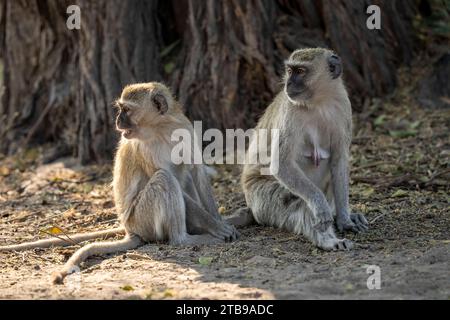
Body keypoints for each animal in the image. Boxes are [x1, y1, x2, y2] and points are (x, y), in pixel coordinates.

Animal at [0, 82, 239, 282]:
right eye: (121, 109)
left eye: (127, 110)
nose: (117, 121)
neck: (161, 128)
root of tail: (129, 229)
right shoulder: (143, 148)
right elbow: (169, 176)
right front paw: (216, 227)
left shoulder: (185, 128)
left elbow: (196, 171)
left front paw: (218, 222)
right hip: (141, 219)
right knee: (165, 179)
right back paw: (184, 239)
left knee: (183, 175)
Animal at [232, 48, 370, 251]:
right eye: (290, 71)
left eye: (300, 71)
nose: (288, 83)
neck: (319, 102)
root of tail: (251, 205)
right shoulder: (291, 111)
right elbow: (281, 165)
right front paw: (321, 208)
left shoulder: (343, 106)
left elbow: (339, 161)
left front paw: (344, 219)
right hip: (261, 200)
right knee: (295, 200)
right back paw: (328, 240)